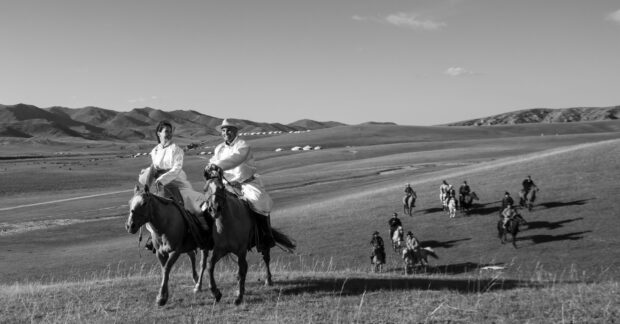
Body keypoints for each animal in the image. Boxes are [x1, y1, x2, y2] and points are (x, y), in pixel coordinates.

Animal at [199, 168, 296, 306]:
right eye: (205, 189)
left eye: (221, 188)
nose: (214, 209)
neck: (228, 224)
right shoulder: (220, 250)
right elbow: (210, 266)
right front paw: (216, 293)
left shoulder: (241, 251)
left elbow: (242, 269)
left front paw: (239, 297)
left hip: (264, 243)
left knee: (265, 258)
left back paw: (268, 280)